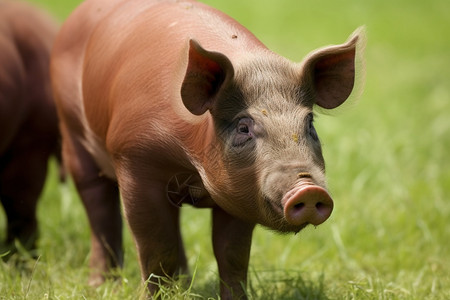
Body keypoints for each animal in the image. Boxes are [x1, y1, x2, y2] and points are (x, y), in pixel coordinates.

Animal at [50, 0, 366, 298]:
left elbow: (232, 255)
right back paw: (102, 286)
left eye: (309, 122)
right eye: (243, 127)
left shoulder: (242, 193)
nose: (308, 189)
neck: (193, 165)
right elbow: (155, 247)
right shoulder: (134, 158)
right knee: (99, 210)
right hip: (72, 133)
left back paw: (183, 282)